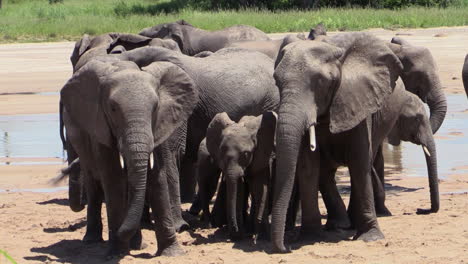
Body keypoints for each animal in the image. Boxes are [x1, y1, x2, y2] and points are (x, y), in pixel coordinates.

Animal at [59, 53, 196, 258]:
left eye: (155, 107)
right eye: (113, 109)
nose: (119, 234)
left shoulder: (159, 126)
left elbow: (157, 179)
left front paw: (172, 253)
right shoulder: (100, 128)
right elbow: (113, 179)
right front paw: (116, 253)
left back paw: (136, 244)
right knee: (94, 184)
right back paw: (94, 240)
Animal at [195, 111, 276, 239]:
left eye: (246, 154)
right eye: (221, 153)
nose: (237, 230)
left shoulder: (261, 154)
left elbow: (258, 186)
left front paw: (258, 234)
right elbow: (238, 188)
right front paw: (239, 233)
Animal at [270, 33, 406, 254]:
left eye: (322, 82)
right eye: (276, 81)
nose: (285, 248)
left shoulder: (358, 99)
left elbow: (359, 162)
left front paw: (370, 237)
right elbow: (308, 166)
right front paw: (309, 237)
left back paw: (351, 224)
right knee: (325, 173)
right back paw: (338, 225)